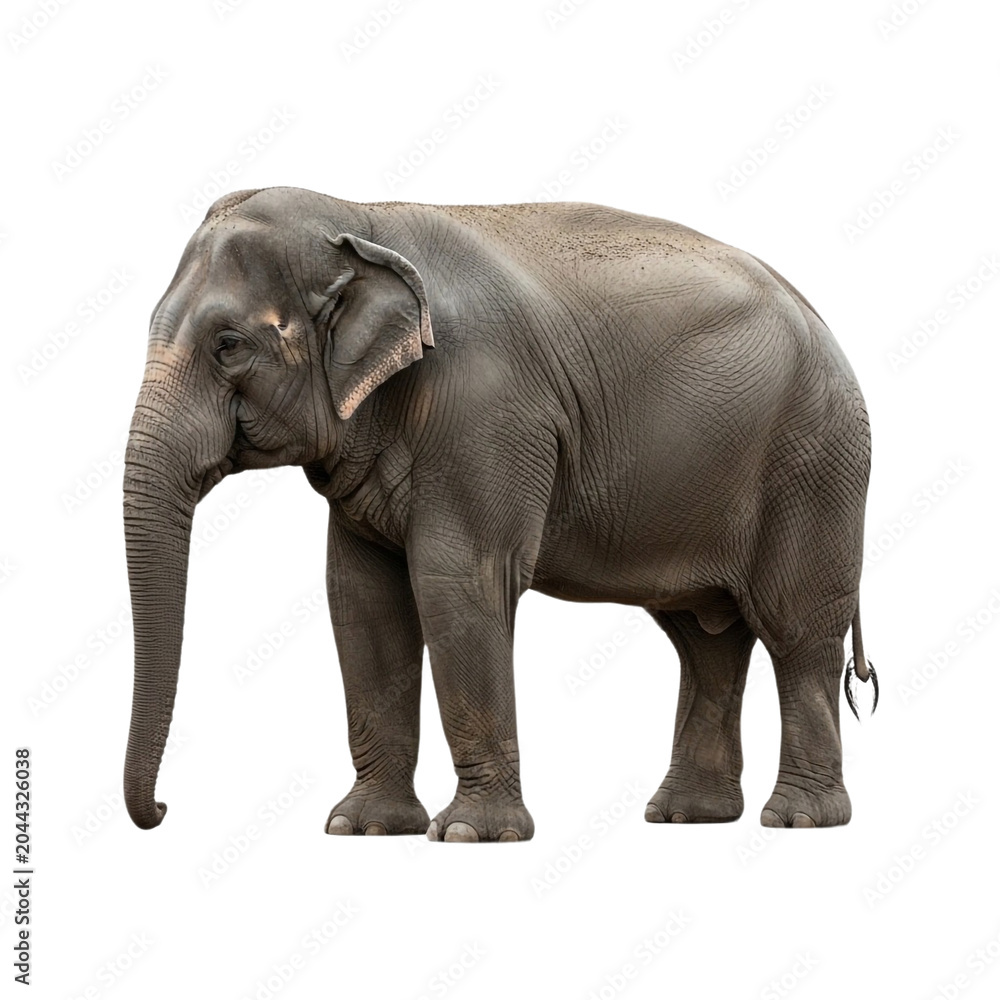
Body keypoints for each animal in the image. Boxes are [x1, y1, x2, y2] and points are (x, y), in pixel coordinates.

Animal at [123, 186, 877, 842]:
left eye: (228, 345)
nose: (162, 809)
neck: (360, 216)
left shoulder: (487, 413)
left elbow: (459, 584)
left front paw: (467, 834)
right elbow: (363, 601)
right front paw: (361, 828)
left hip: (816, 465)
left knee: (797, 632)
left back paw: (798, 819)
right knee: (706, 640)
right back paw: (687, 816)